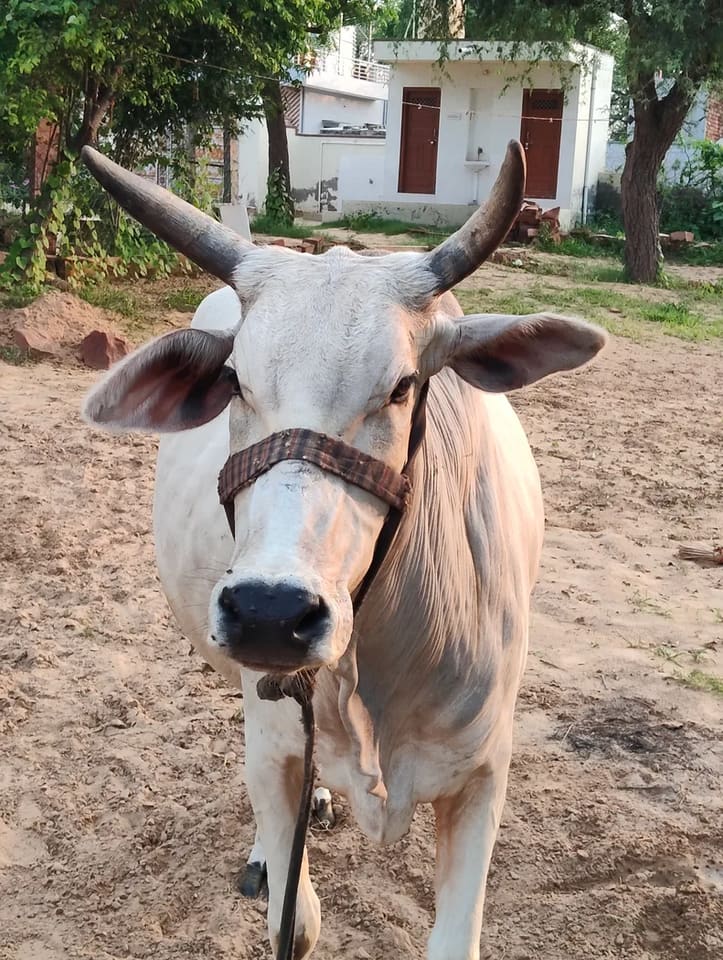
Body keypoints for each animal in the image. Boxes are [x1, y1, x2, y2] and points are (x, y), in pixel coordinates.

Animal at [81, 141, 606, 960]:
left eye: (402, 386)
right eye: (234, 380)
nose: (270, 611)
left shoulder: (483, 775)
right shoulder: (271, 744)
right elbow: (294, 922)